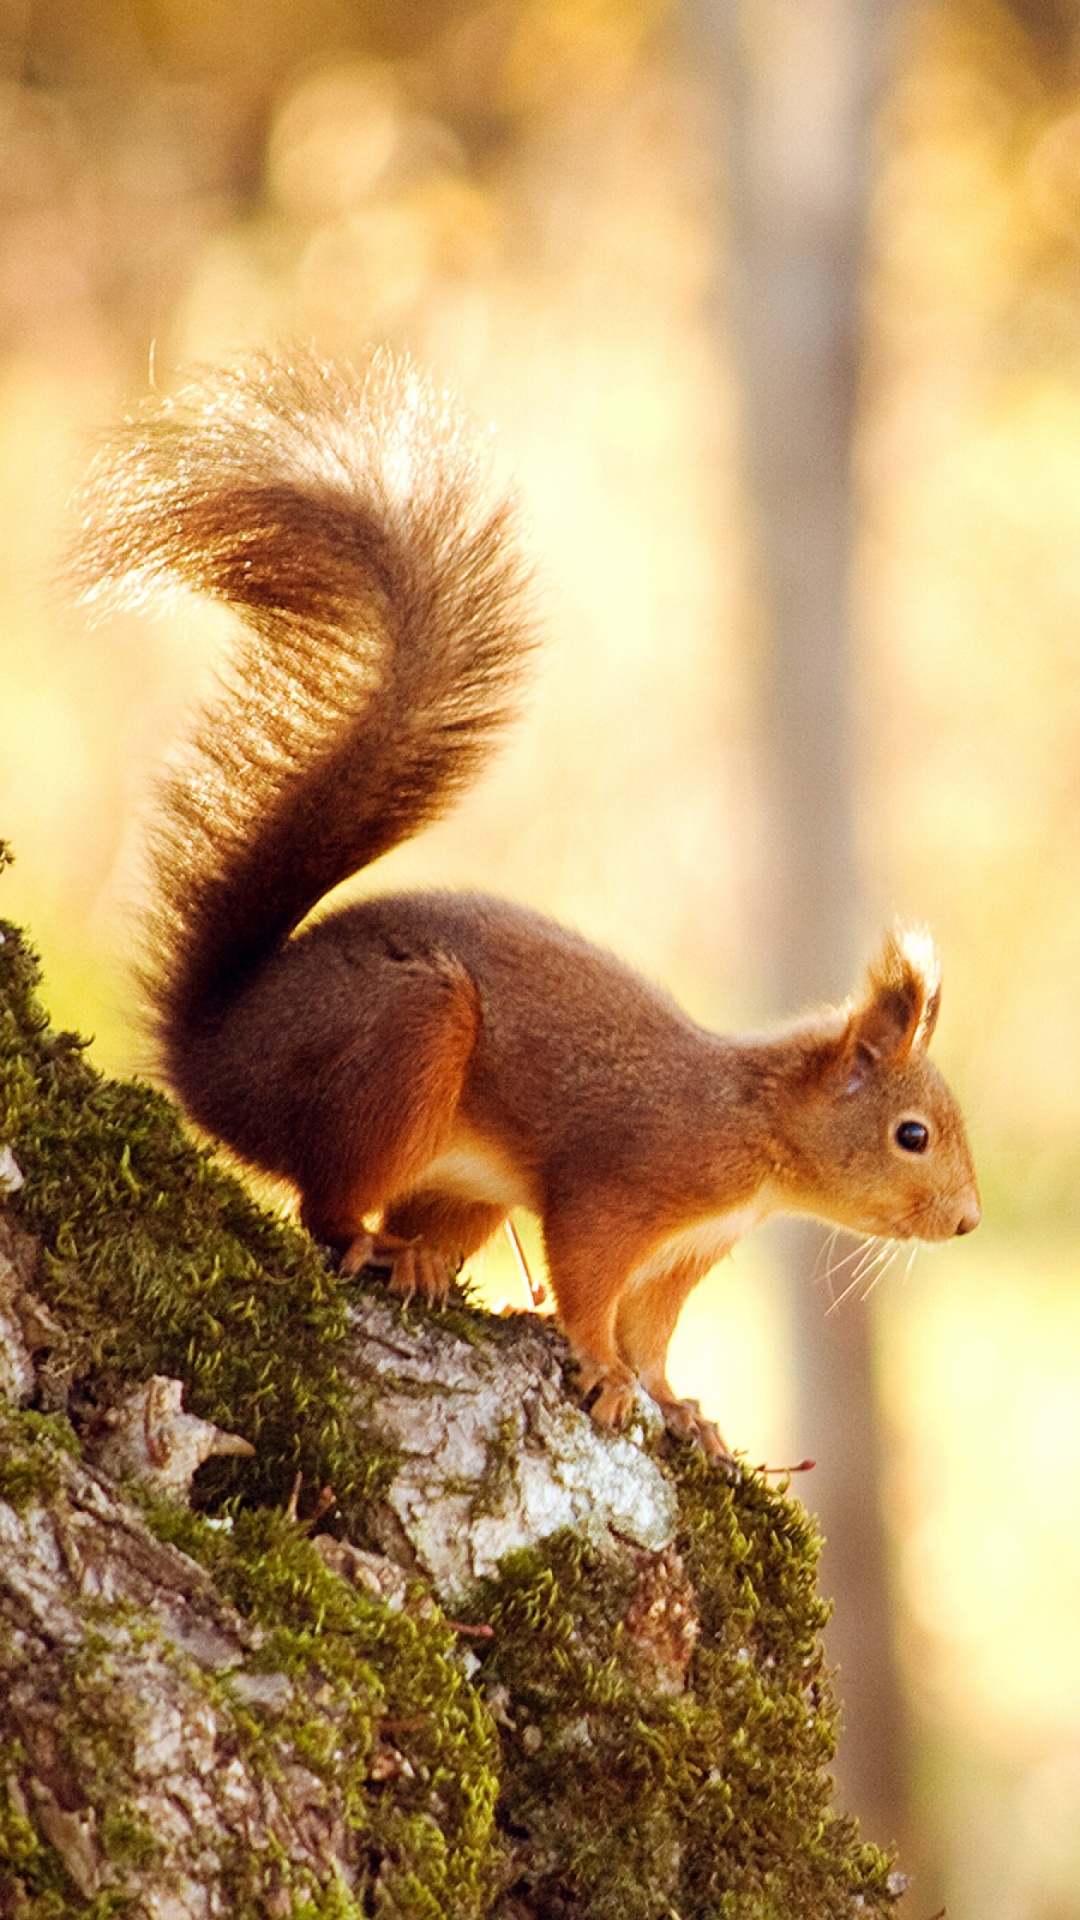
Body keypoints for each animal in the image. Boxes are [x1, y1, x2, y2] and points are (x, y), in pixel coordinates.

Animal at [72, 346, 980, 1461]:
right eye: (913, 1135)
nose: (965, 1221)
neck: (756, 1130)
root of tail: (210, 1053)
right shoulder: (626, 1185)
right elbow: (589, 1283)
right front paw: (603, 1373)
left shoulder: (689, 1251)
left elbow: (653, 1329)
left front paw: (679, 1404)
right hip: (404, 1045)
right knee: (324, 1210)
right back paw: (377, 1247)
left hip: (458, 1175)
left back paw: (418, 1257)